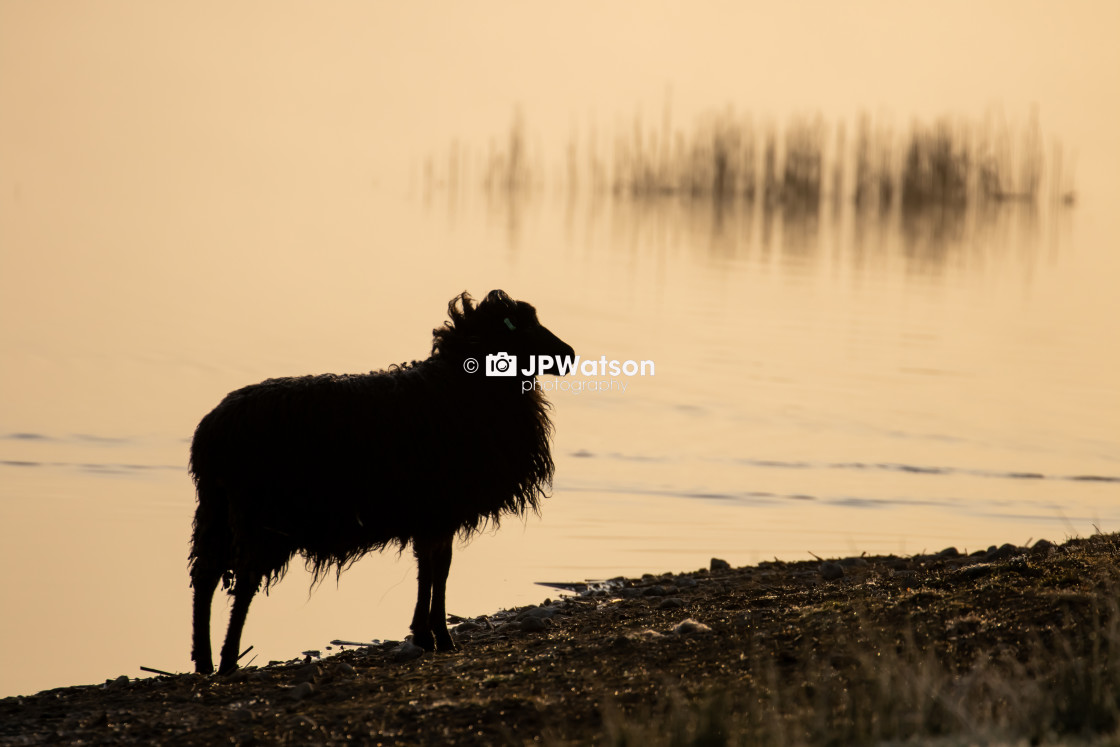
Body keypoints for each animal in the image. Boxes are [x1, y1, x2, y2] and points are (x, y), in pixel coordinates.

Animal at [188, 288, 573, 676]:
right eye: (522, 325)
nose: (569, 355)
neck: (461, 388)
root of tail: (212, 430)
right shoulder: (440, 507)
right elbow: (438, 568)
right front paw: (438, 636)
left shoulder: (432, 512)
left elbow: (431, 567)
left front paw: (426, 635)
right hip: (260, 516)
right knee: (243, 582)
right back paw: (227, 661)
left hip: (216, 509)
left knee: (205, 577)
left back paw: (204, 660)